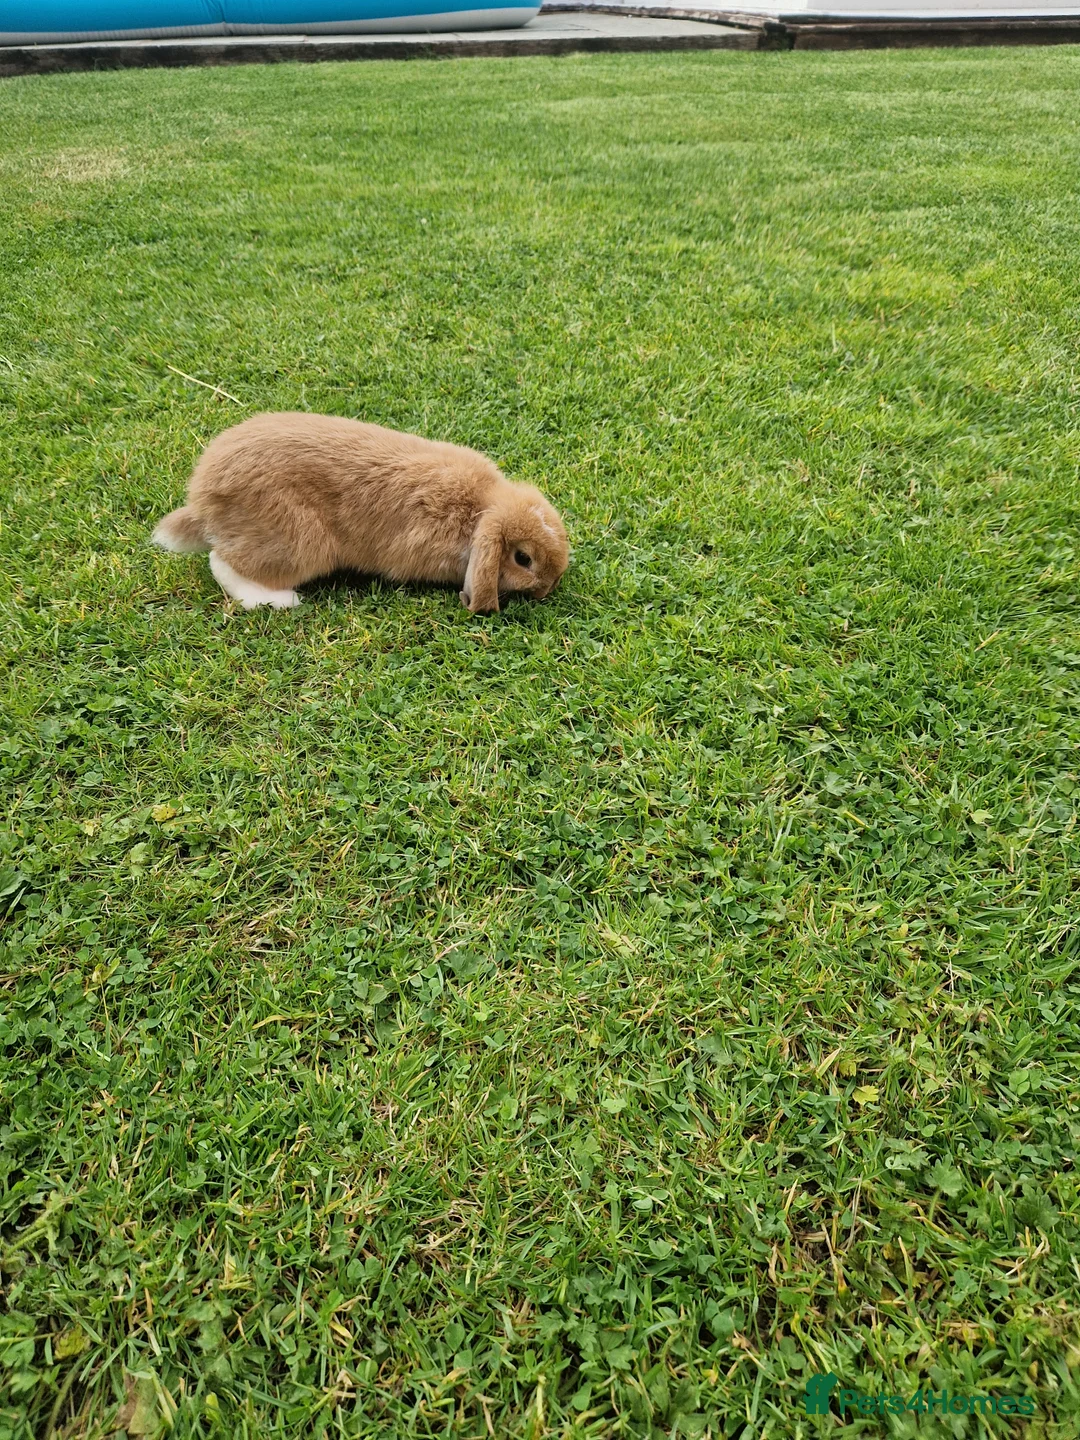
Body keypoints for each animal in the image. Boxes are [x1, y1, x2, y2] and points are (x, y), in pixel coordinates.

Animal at [152, 412, 569, 614]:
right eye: (523, 558)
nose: (549, 589)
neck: (481, 509)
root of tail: (203, 500)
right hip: (296, 544)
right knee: (221, 562)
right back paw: (281, 601)